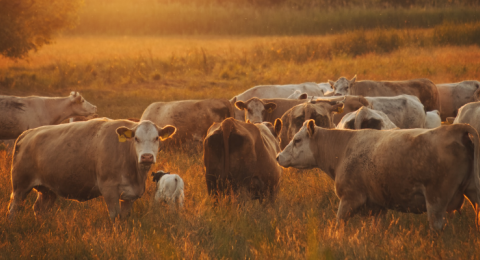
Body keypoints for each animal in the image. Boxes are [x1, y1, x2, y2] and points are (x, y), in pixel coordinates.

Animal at [7, 119, 176, 221]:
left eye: (156, 138)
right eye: (136, 138)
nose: (147, 157)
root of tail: (27, 134)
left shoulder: (129, 196)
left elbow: (124, 218)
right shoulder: (109, 190)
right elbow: (115, 217)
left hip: (48, 190)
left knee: (39, 209)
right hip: (20, 186)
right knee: (13, 208)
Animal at [276, 120, 480, 230]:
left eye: (297, 140)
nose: (278, 156)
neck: (343, 148)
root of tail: (455, 128)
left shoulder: (349, 198)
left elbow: (338, 224)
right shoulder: (378, 206)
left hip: (435, 200)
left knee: (436, 225)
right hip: (473, 191)